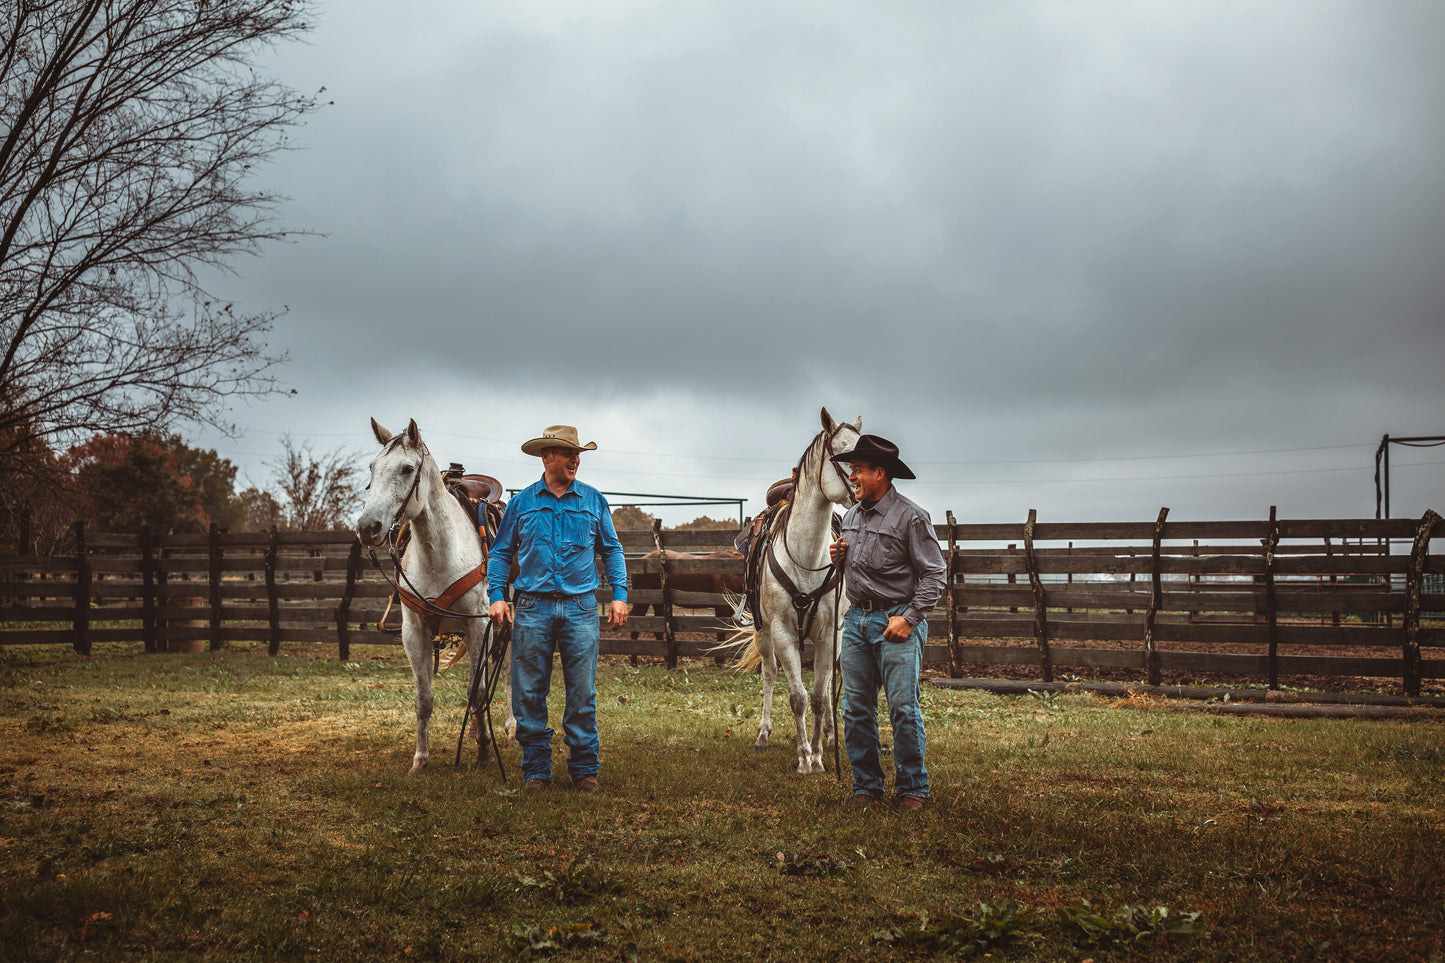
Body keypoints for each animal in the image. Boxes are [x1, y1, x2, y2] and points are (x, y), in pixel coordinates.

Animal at [354, 413, 514, 775]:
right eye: (372, 467)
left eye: (407, 469)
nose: (368, 527)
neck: (441, 554)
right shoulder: (414, 631)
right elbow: (424, 698)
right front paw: (420, 760)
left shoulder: (479, 625)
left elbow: (477, 689)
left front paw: (485, 752)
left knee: (509, 673)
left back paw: (512, 729)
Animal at [734, 407, 855, 775]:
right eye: (843, 453)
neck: (806, 559)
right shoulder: (782, 631)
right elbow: (798, 697)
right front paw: (804, 758)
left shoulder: (830, 633)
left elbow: (817, 696)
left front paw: (818, 756)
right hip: (763, 631)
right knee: (770, 674)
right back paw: (763, 733)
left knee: (826, 687)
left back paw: (829, 733)